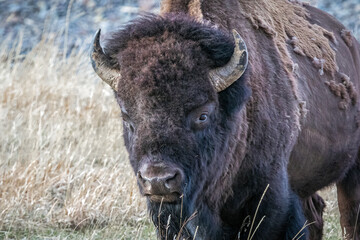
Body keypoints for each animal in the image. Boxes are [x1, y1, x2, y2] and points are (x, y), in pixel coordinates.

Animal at [90, 0, 360, 239]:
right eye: (127, 118)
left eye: (203, 115)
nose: (157, 180)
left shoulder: (271, 202)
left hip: (352, 172)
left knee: (349, 218)